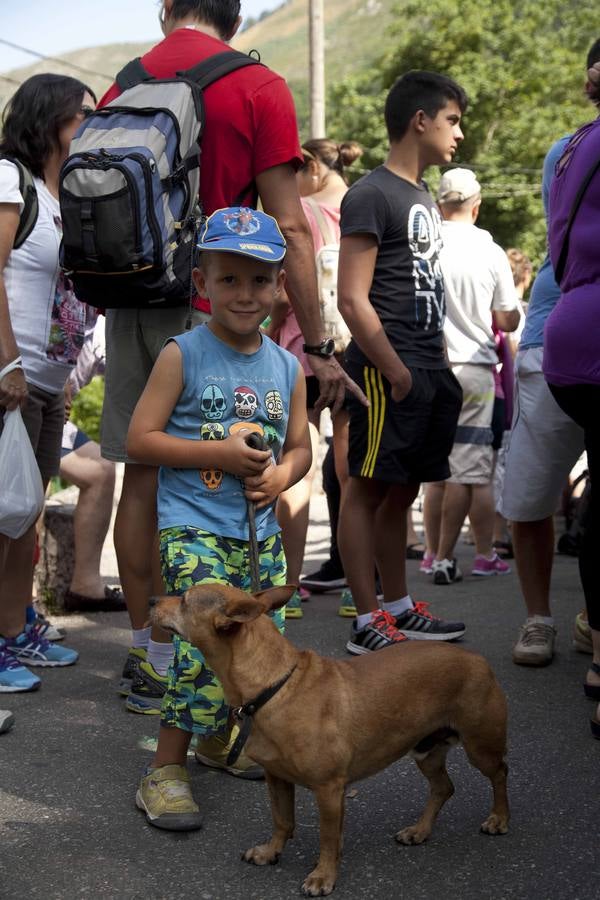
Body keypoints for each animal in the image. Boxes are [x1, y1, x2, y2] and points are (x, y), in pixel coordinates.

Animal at [152, 584, 508, 892]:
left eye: (184, 600)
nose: (152, 601)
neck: (275, 685)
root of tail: (477, 659)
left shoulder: (329, 790)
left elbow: (327, 837)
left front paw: (323, 875)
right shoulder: (277, 778)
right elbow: (282, 820)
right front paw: (271, 852)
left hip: (481, 747)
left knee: (500, 774)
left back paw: (498, 819)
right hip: (426, 751)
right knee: (443, 788)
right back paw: (419, 830)